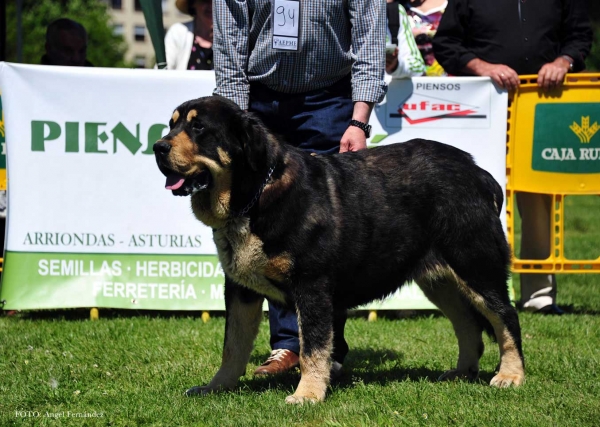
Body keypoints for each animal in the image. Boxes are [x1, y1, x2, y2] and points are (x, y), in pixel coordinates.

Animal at [155, 95, 524, 402]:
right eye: (172, 125)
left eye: (199, 128)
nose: (158, 146)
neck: (254, 196)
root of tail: (479, 173)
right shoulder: (239, 290)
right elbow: (232, 346)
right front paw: (216, 387)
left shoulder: (312, 287)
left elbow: (313, 347)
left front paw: (307, 394)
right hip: (440, 281)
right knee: (467, 324)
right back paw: (462, 372)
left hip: (475, 266)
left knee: (505, 317)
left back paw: (510, 375)